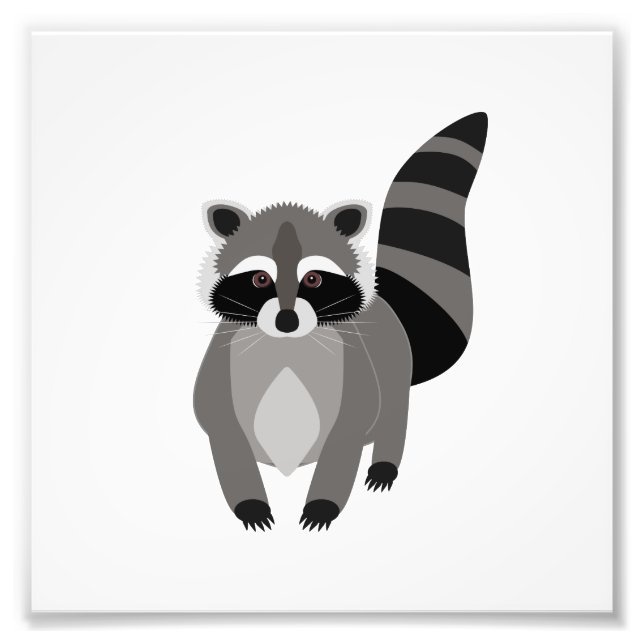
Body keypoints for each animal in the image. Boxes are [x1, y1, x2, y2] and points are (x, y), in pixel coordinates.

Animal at [194, 112, 488, 531]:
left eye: (314, 279)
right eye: (260, 279)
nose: (286, 320)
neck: (287, 345)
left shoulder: (353, 372)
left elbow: (346, 436)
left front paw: (323, 503)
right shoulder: (223, 360)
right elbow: (222, 430)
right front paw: (249, 503)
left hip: (394, 365)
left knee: (394, 413)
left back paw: (384, 461)